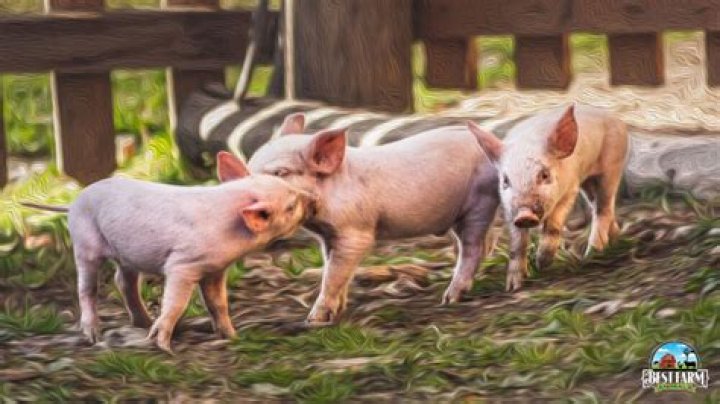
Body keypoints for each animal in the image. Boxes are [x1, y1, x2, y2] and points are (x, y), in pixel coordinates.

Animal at [26, 153, 311, 352]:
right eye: (291, 206)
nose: (310, 197)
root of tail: (74, 201)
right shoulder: (182, 265)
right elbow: (176, 302)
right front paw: (163, 345)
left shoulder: (215, 269)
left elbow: (218, 303)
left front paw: (233, 336)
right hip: (84, 241)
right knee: (87, 288)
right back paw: (94, 336)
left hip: (126, 254)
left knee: (123, 281)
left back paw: (142, 322)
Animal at [239, 113, 500, 324]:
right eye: (250, 166)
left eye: (280, 173)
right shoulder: (328, 235)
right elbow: (335, 270)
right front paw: (338, 311)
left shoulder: (355, 231)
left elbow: (333, 273)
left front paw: (314, 320)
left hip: (480, 202)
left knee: (473, 247)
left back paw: (449, 299)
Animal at [468, 104, 628, 291]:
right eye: (506, 180)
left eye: (544, 175)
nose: (525, 215)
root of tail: (615, 118)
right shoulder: (509, 208)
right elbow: (517, 242)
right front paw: (513, 286)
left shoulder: (570, 188)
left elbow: (553, 223)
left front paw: (541, 264)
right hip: (589, 182)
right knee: (598, 206)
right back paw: (615, 239)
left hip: (612, 166)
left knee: (604, 208)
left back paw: (593, 253)